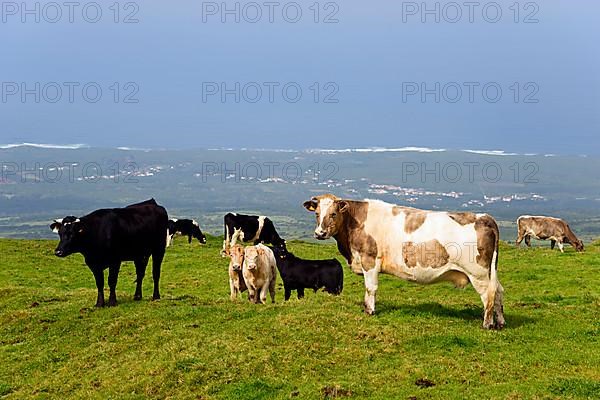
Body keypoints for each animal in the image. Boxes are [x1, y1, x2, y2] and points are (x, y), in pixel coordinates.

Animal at [304, 193, 506, 328]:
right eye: (317, 214)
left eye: (333, 214)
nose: (319, 233)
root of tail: (484, 217)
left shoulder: (369, 260)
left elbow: (370, 288)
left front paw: (369, 311)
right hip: (489, 272)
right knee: (498, 292)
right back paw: (501, 322)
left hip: (478, 273)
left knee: (489, 294)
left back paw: (487, 324)